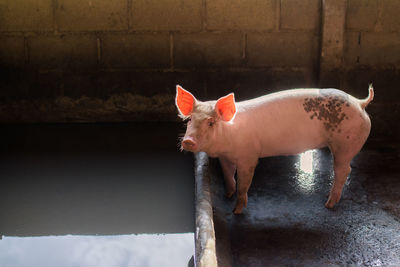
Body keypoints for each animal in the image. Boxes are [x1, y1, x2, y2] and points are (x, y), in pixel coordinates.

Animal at [177, 85, 374, 215]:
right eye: (190, 120)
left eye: (211, 122)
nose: (187, 140)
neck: (228, 136)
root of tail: (360, 102)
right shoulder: (225, 157)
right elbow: (228, 175)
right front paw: (227, 195)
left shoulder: (248, 156)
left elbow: (243, 184)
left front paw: (236, 211)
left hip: (345, 144)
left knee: (344, 170)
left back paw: (328, 205)